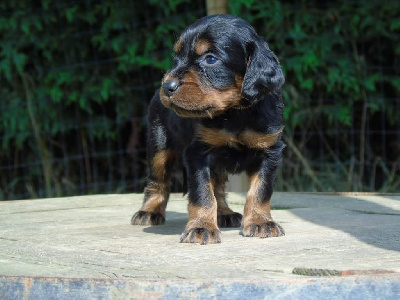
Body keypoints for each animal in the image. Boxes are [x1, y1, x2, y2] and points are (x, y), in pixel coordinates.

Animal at [131, 12, 284, 245]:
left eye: (210, 59)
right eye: (177, 57)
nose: (167, 86)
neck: (234, 114)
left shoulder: (269, 151)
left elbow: (260, 190)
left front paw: (260, 221)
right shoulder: (198, 153)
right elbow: (202, 193)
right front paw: (201, 227)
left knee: (218, 188)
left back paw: (224, 213)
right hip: (158, 145)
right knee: (157, 180)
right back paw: (149, 211)